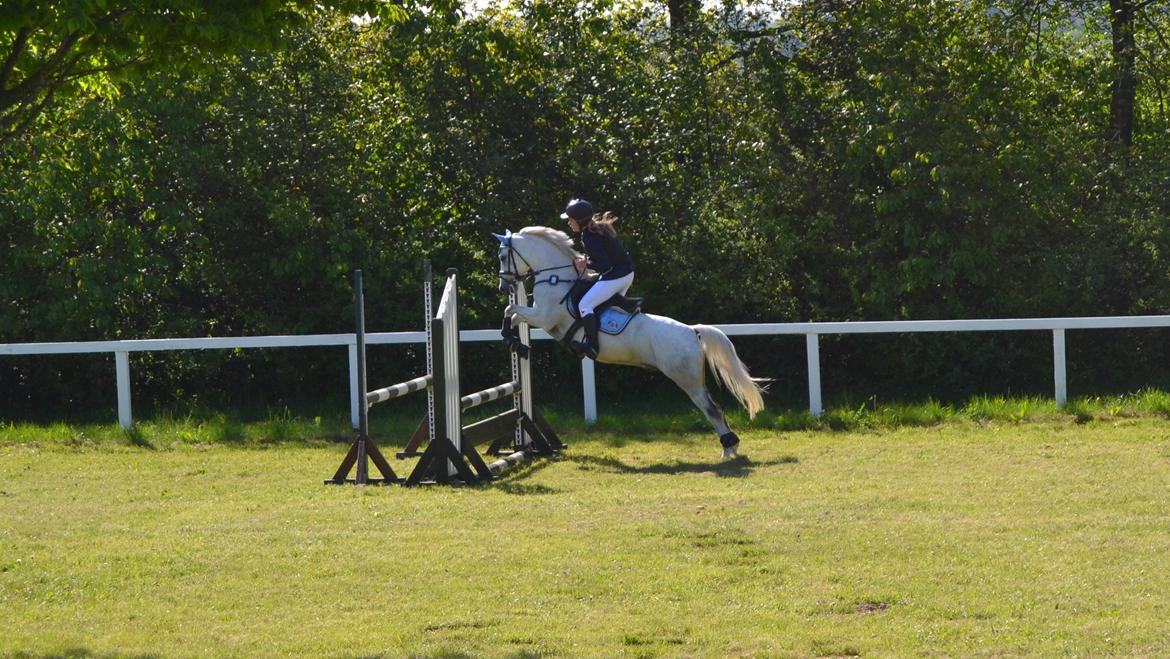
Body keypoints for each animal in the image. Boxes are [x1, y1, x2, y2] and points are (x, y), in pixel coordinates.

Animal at [494, 226, 766, 458]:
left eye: (503, 256)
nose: (504, 287)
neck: (556, 277)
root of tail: (692, 331)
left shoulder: (544, 316)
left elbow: (511, 309)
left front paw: (513, 340)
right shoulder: (541, 318)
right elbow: (513, 313)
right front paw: (516, 342)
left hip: (686, 379)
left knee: (711, 409)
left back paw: (728, 448)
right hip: (693, 377)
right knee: (714, 407)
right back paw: (731, 445)